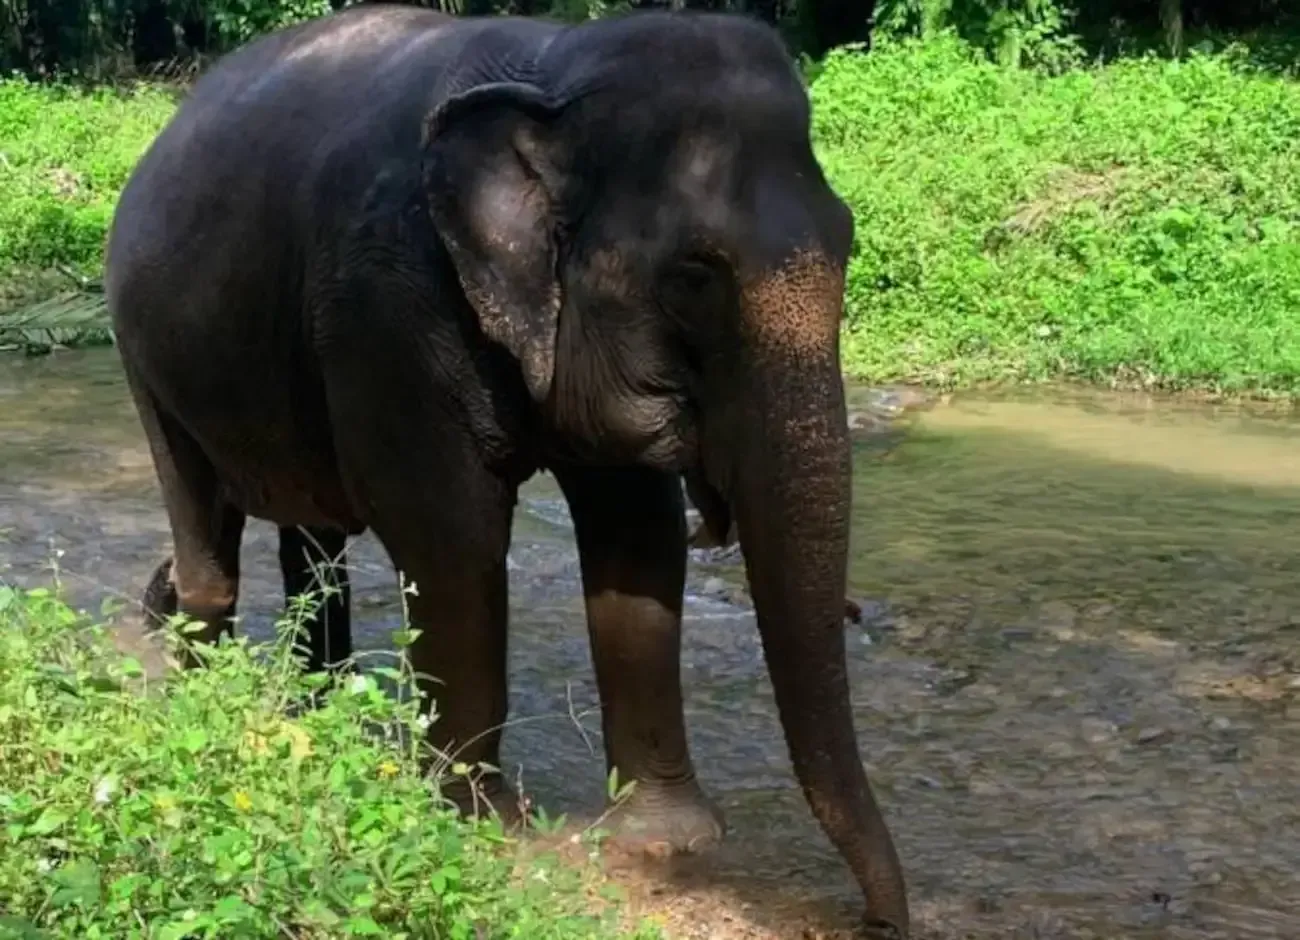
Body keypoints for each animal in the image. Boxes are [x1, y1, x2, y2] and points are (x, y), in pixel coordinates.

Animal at [104, 6, 909, 936]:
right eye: (694, 275)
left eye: (849, 239)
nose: (874, 922)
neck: (552, 66)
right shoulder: (389, 301)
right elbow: (452, 538)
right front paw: (480, 824)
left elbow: (637, 540)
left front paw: (668, 843)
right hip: (141, 345)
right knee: (204, 523)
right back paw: (206, 692)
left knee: (313, 541)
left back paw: (312, 705)